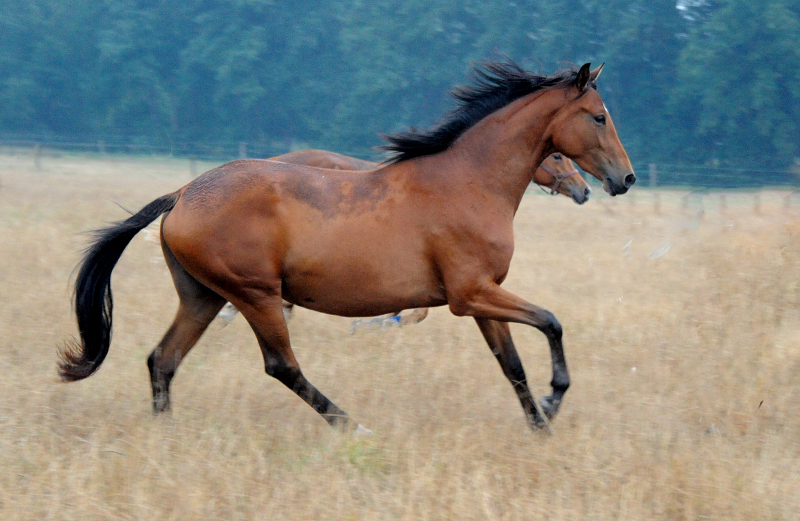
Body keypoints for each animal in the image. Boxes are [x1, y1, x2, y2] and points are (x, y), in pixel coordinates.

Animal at [59, 58, 636, 430]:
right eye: (599, 116)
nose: (623, 180)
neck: (469, 182)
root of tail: (181, 194)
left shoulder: (482, 296)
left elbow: (511, 363)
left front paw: (540, 425)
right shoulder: (470, 293)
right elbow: (551, 322)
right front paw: (555, 399)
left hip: (202, 296)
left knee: (163, 359)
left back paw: (166, 436)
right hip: (254, 293)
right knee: (281, 366)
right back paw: (349, 425)